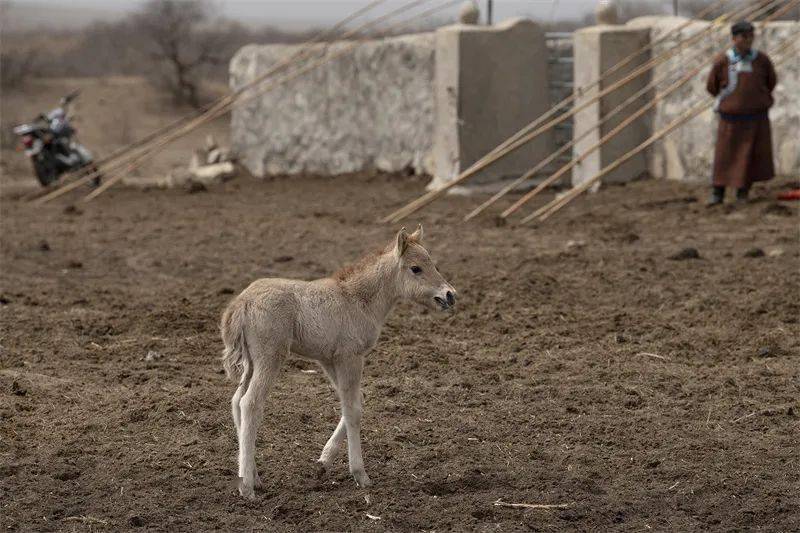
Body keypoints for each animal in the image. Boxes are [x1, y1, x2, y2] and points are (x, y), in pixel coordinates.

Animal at [220, 225, 456, 498]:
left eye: (433, 264)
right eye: (416, 268)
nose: (450, 295)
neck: (358, 299)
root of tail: (242, 302)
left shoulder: (329, 359)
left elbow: (355, 401)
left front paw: (323, 461)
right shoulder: (350, 357)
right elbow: (353, 410)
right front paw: (360, 474)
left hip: (251, 362)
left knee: (236, 400)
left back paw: (252, 475)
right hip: (270, 357)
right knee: (250, 403)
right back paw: (247, 486)